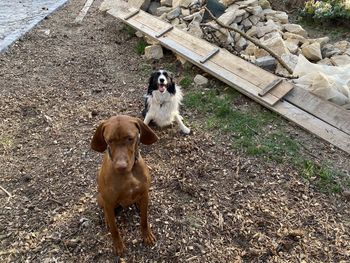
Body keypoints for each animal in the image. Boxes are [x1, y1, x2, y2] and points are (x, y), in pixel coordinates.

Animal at [92, 115, 159, 256]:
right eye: (109, 140)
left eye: (130, 138)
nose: (121, 166)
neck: (128, 174)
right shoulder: (108, 201)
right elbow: (114, 229)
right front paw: (118, 245)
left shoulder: (145, 193)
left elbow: (144, 220)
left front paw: (146, 235)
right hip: (100, 199)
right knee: (106, 212)